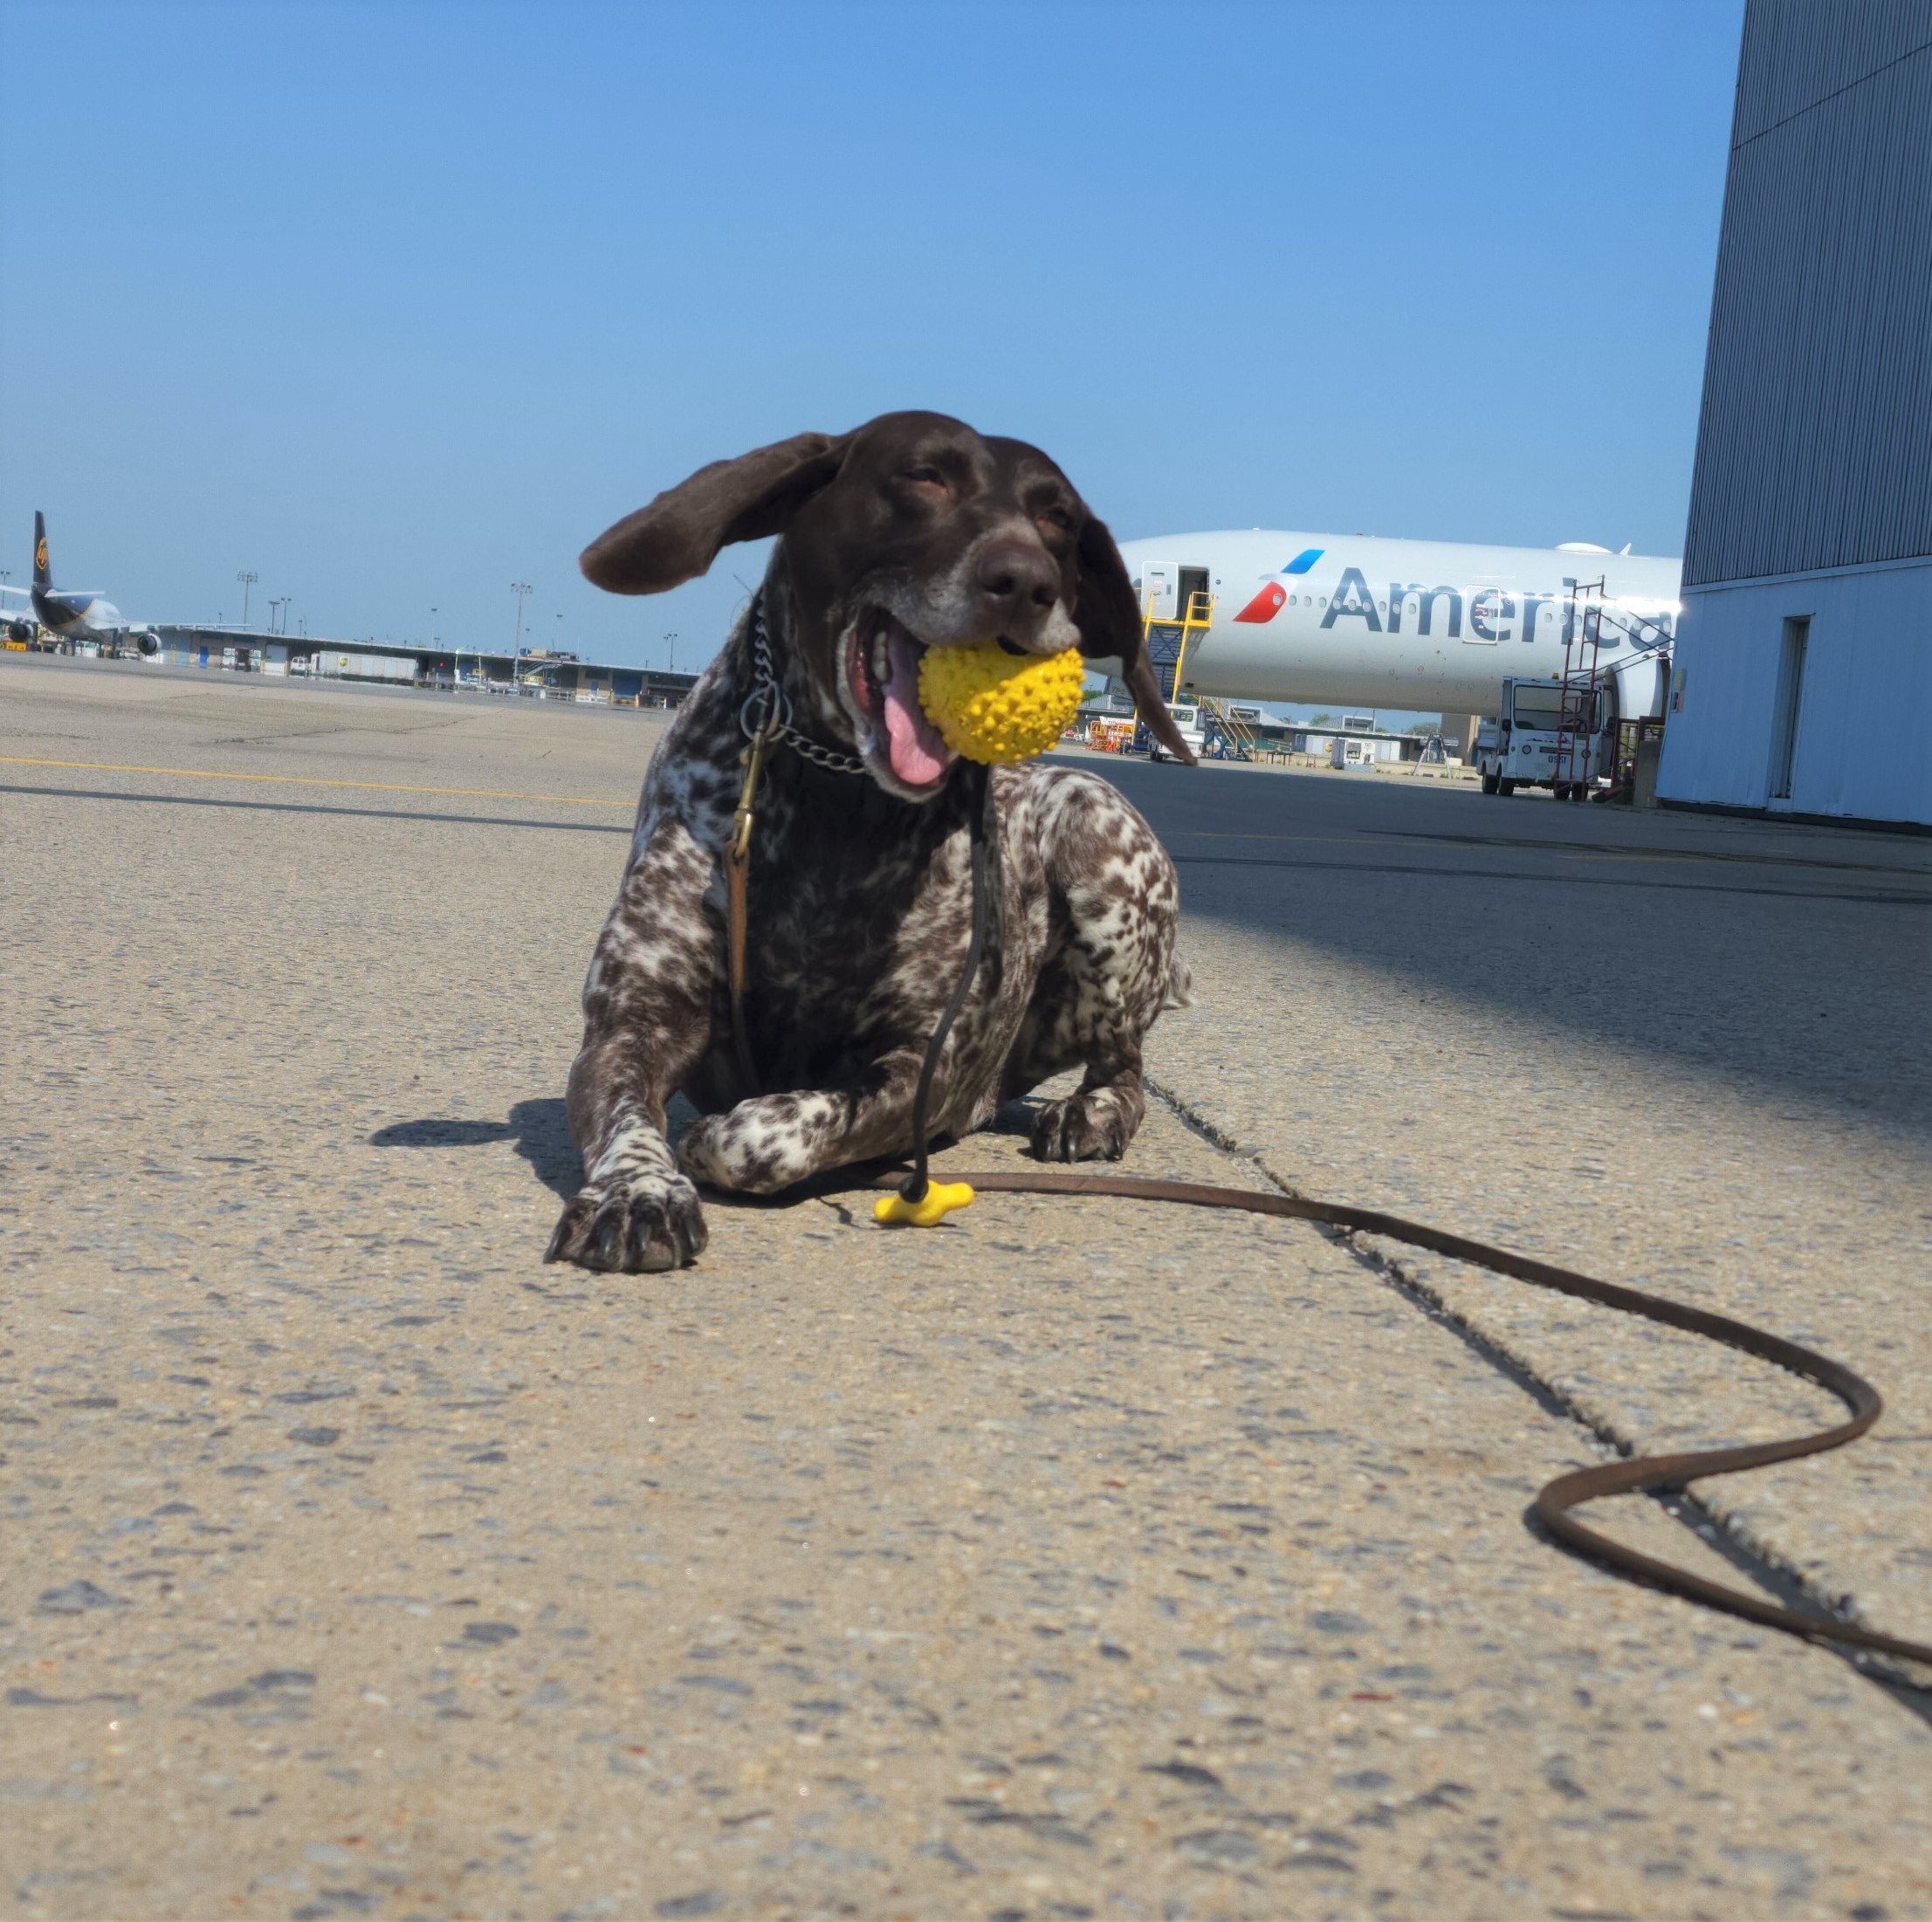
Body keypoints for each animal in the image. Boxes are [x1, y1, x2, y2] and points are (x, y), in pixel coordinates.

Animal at [545, 409, 1198, 1274]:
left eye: (1057, 518)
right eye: (923, 474)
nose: (1027, 581)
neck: (839, 797)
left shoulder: (918, 1066)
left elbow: (765, 1133)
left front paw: (716, 1141)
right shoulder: (631, 1020)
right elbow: (628, 1116)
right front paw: (637, 1191)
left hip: (1097, 829)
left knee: (1127, 1066)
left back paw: (1091, 1113)